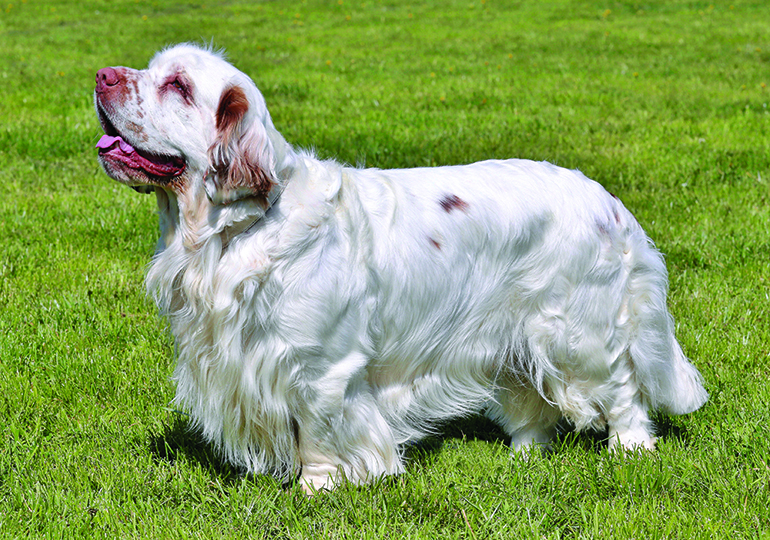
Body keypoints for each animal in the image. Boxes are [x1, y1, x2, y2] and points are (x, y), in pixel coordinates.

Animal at [93, 44, 704, 492]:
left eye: (178, 86)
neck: (237, 231)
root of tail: (609, 202)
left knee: (622, 387)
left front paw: (316, 489)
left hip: (577, 332)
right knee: (532, 400)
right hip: (511, 335)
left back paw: (632, 449)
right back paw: (523, 456)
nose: (101, 76)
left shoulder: (322, 367)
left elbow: (317, 432)